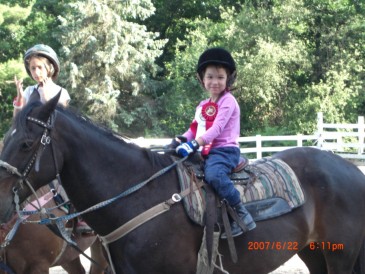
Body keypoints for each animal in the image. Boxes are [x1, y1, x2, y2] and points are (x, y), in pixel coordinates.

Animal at [0, 93, 362, 272]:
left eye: (27, 144)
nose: (2, 202)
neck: (139, 196)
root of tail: (352, 170)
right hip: (314, 252)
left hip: (341, 255)